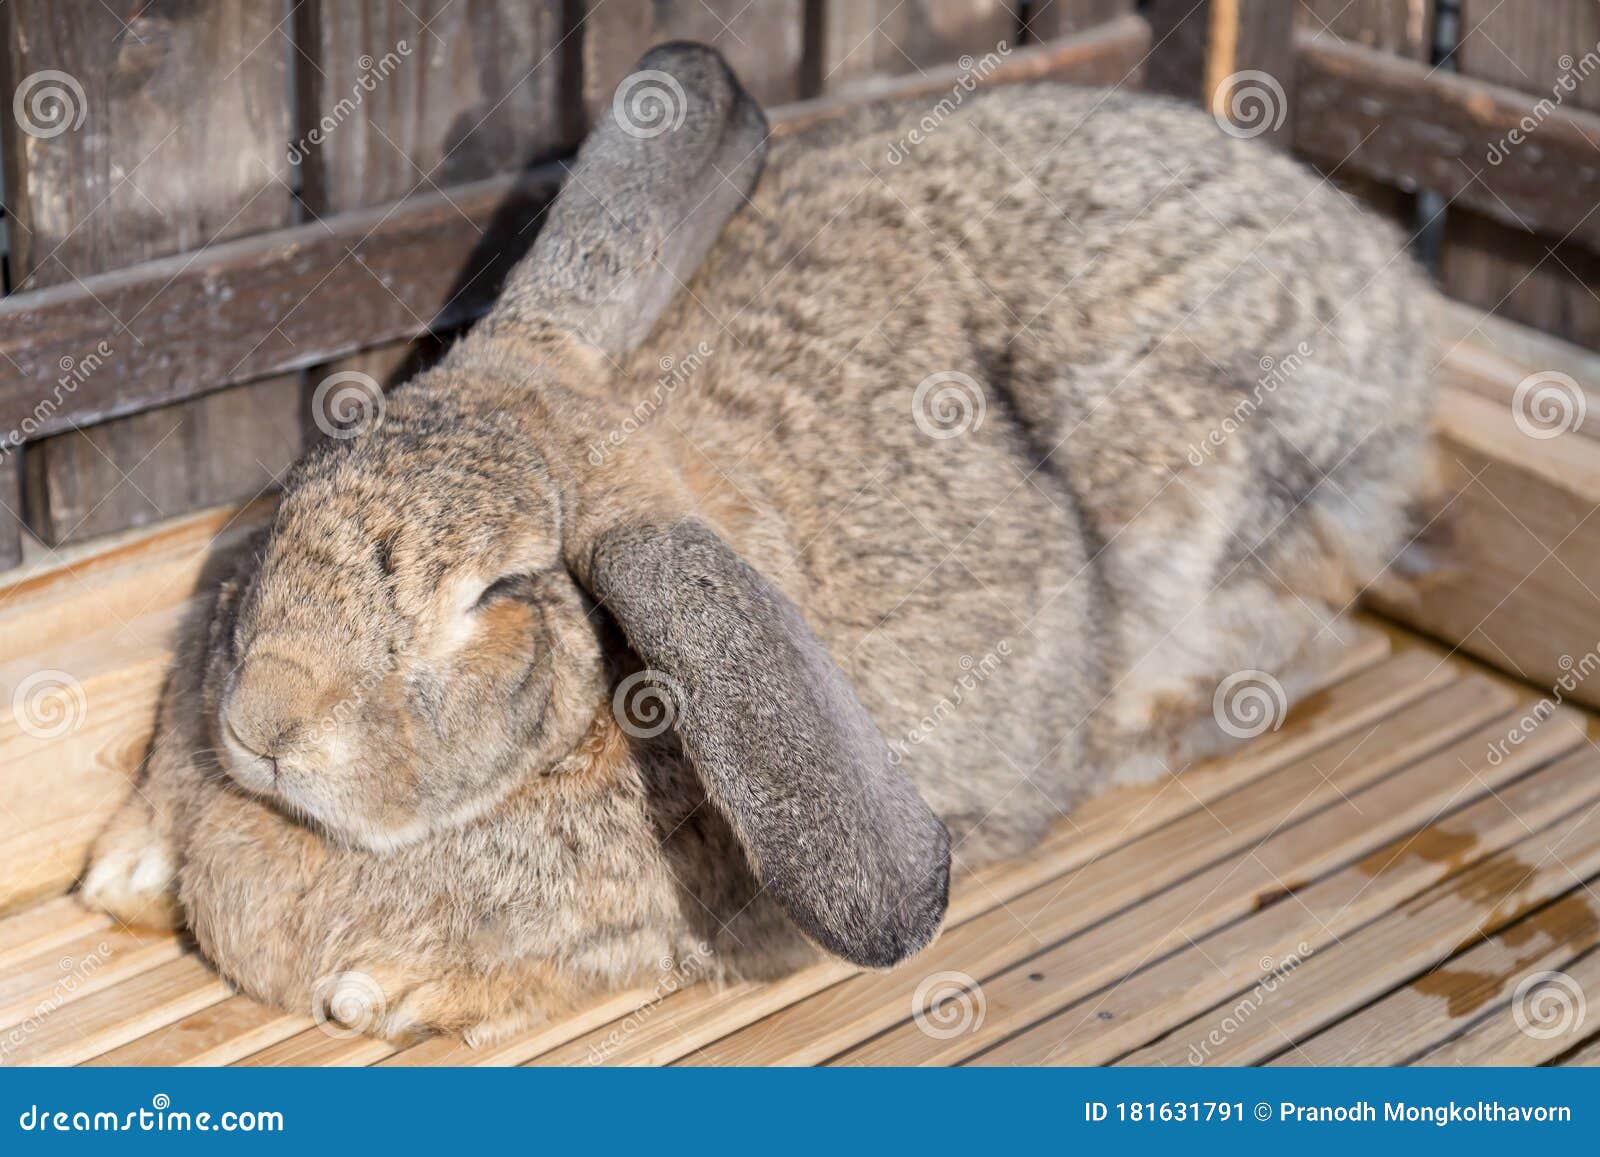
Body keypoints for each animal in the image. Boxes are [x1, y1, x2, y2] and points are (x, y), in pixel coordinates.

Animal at [81, 40, 1440, 1043]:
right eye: (311, 473)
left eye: (497, 591)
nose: (261, 720)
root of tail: (1394, 305)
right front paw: (125, 868)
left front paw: (392, 988)